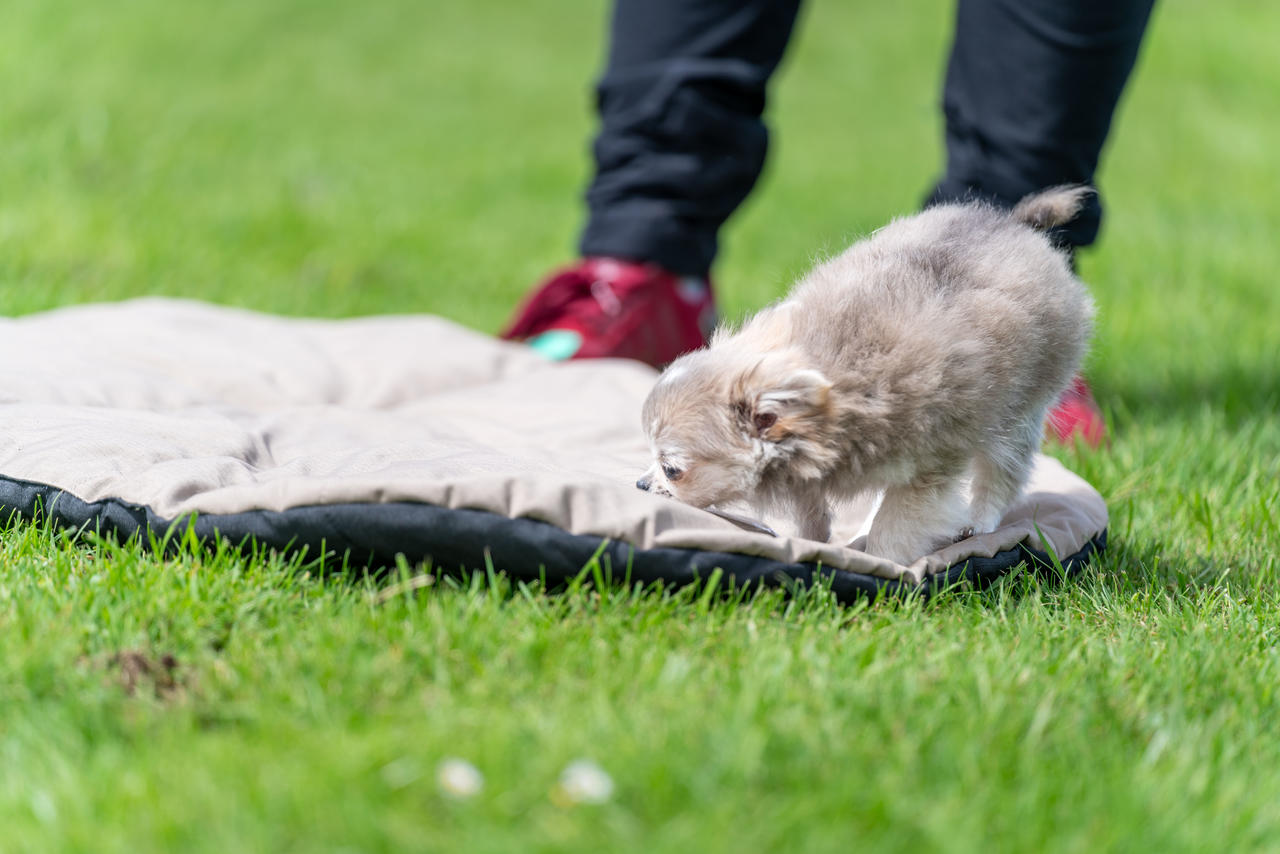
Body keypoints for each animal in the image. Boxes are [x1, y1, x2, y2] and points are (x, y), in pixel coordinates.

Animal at [634, 185, 1095, 568]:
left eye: (672, 469)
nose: (639, 484)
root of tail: (1014, 221)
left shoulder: (927, 471)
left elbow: (896, 526)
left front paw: (884, 565)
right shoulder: (813, 473)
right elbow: (810, 512)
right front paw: (809, 543)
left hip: (1019, 410)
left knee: (1002, 473)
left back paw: (979, 523)